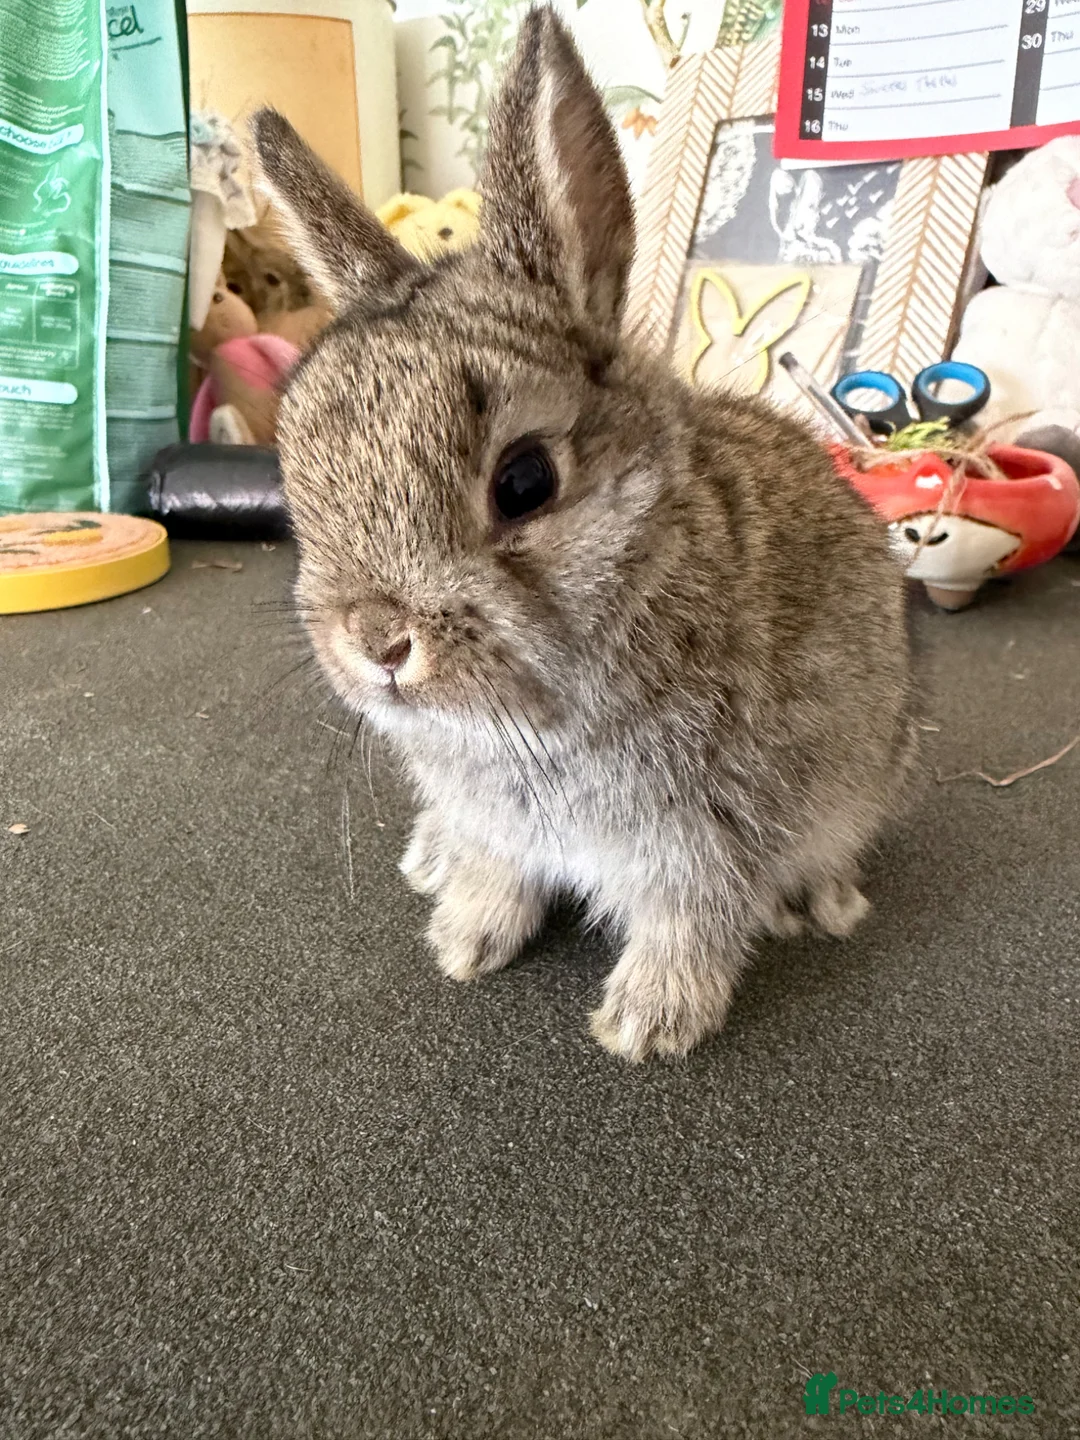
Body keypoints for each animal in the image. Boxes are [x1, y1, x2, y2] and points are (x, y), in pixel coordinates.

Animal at [250, 6, 915, 1062]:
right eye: (299, 482)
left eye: (525, 482)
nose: (378, 643)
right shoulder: (505, 824)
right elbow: (498, 875)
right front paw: (465, 941)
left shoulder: (708, 832)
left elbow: (691, 920)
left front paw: (649, 1023)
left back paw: (820, 902)